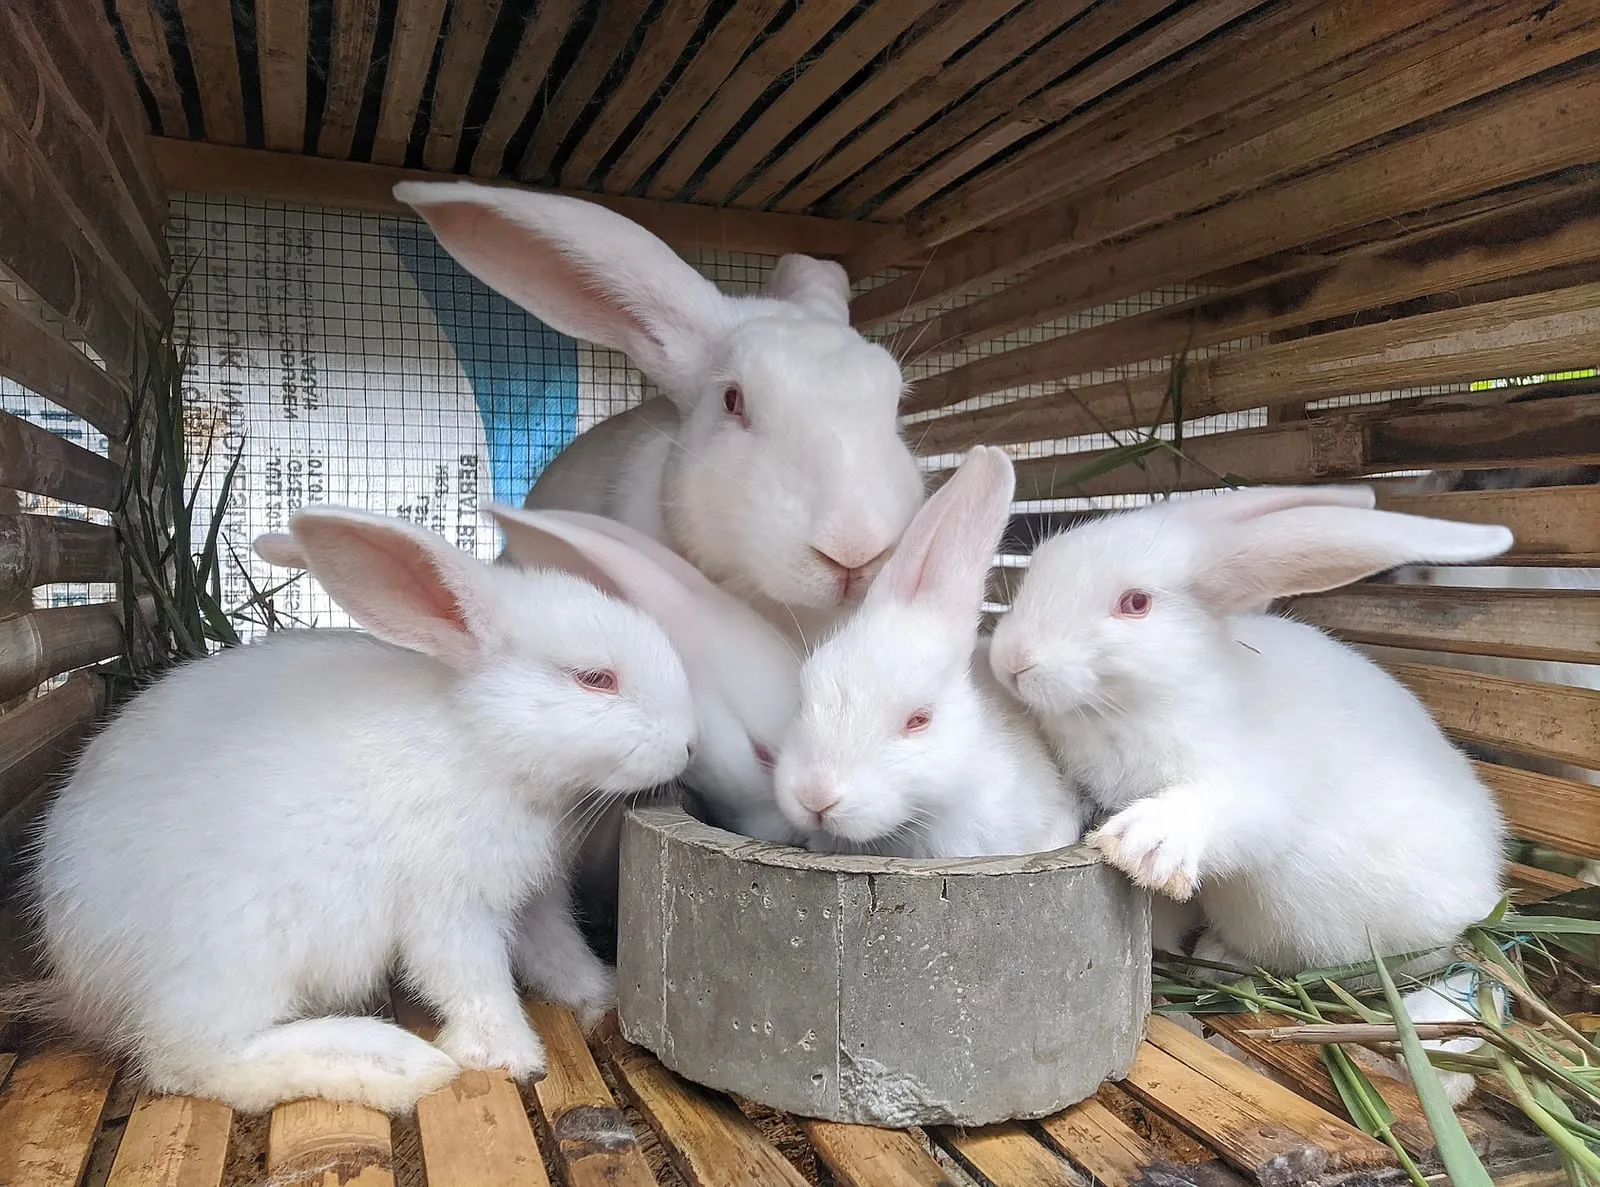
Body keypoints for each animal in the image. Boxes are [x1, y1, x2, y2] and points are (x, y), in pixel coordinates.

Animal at [28, 506, 696, 1114]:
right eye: (595, 678)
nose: (689, 746)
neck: (483, 743)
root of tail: (80, 977)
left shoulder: (535, 900)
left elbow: (558, 954)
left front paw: (599, 996)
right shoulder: (448, 907)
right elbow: (472, 979)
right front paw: (510, 1057)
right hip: (238, 945)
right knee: (187, 1055)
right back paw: (394, 1065)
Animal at [988, 485, 1516, 1101]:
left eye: (1136, 603)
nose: (1011, 660)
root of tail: (1488, 892)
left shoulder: (1251, 796)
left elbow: (1211, 814)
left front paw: (1141, 846)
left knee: (1472, 975)